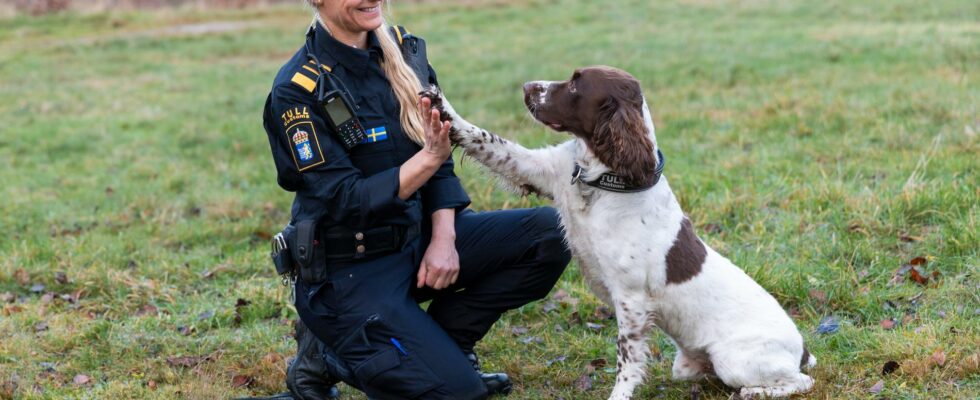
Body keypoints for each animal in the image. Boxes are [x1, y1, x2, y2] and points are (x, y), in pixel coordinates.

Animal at [424, 66, 816, 400]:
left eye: (576, 84)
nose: (526, 86)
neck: (602, 181)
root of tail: (802, 348)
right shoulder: (540, 170)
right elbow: (484, 138)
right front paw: (437, 101)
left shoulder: (631, 299)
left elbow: (626, 359)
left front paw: (619, 395)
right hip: (689, 365)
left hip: (736, 361)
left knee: (800, 381)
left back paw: (754, 391)